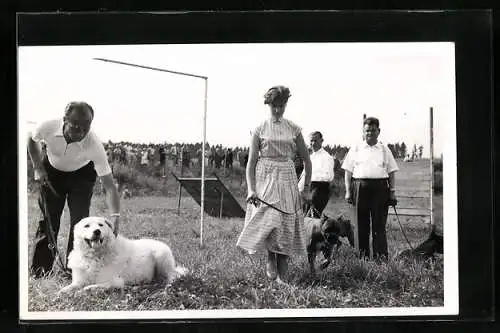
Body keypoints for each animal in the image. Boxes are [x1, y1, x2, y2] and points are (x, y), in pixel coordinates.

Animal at [58, 217, 188, 292]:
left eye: (100, 225)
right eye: (87, 226)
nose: (97, 231)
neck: (95, 256)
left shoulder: (116, 281)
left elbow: (97, 285)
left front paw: (88, 288)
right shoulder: (78, 281)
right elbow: (70, 287)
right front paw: (62, 292)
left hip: (161, 257)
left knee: (173, 276)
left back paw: (167, 285)